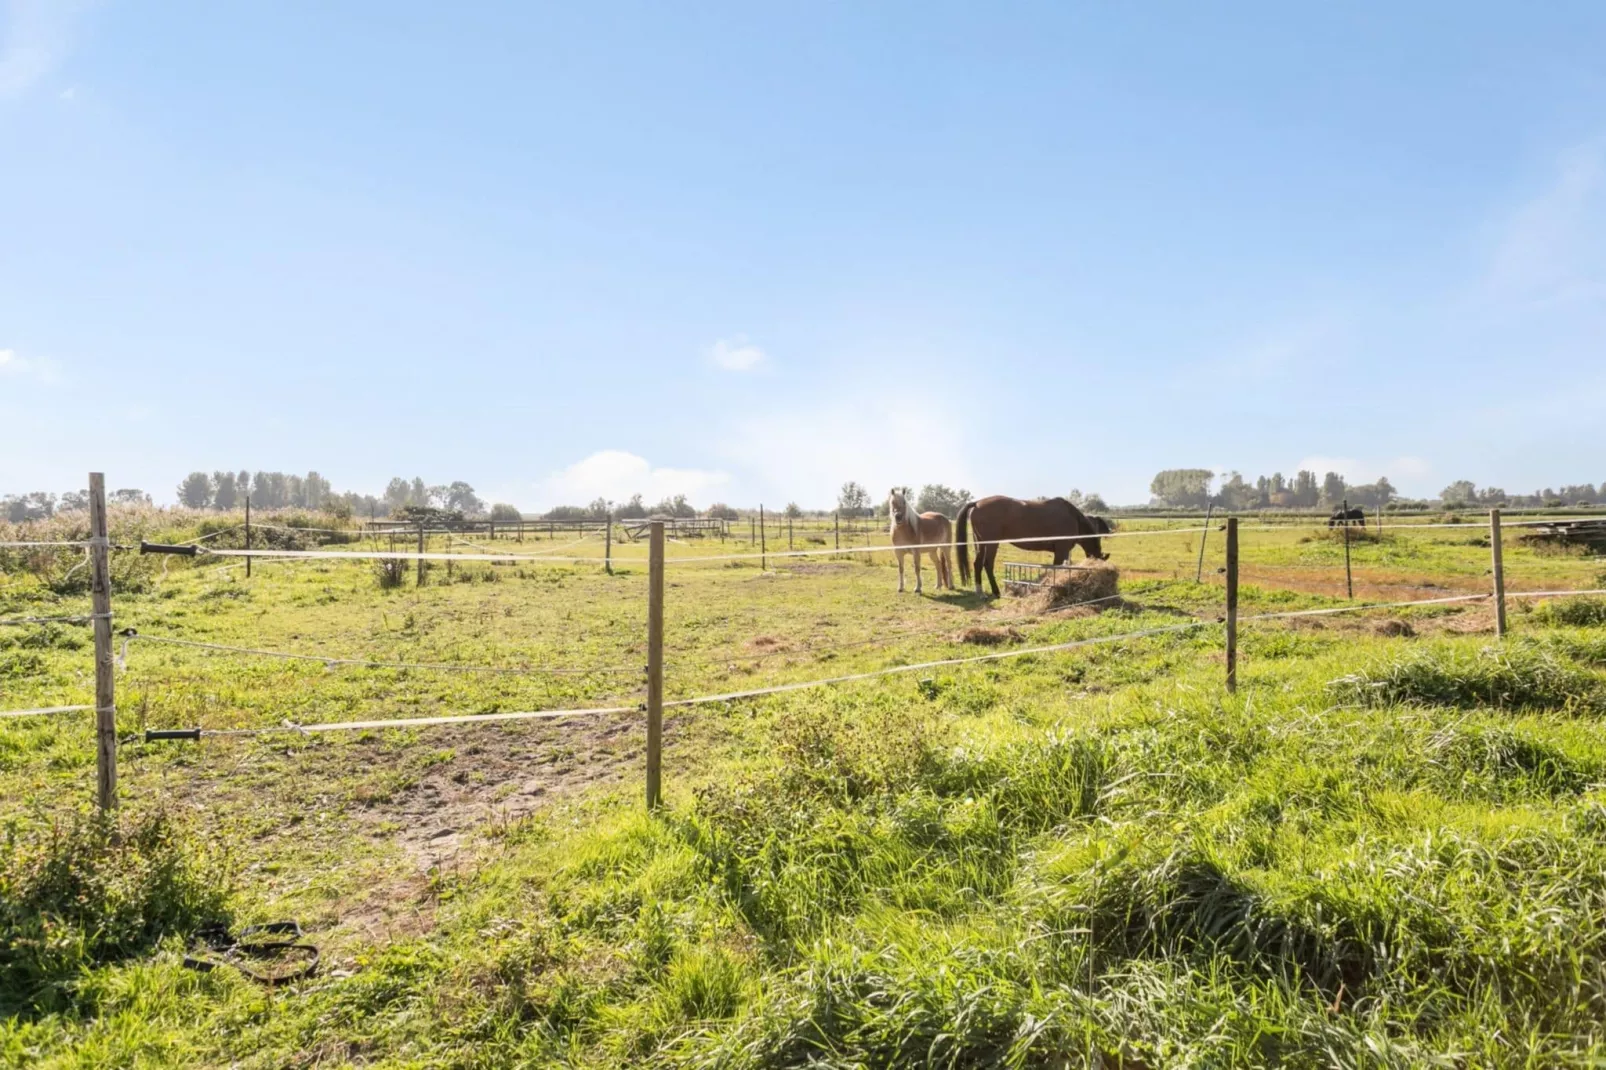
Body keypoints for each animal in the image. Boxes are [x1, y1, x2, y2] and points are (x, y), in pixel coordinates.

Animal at [950, 494, 1104, 594]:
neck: (1073, 518)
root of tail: (977, 503)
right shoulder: (1062, 550)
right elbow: (1055, 568)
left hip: (981, 543)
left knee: (977, 563)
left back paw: (980, 591)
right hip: (991, 544)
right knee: (987, 564)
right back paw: (995, 591)